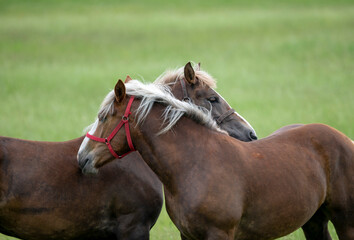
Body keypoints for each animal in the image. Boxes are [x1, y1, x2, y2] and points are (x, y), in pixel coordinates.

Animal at [78, 79, 354, 240]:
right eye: (212, 98)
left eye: (103, 117)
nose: (82, 158)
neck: (194, 164)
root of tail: (344, 139)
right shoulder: (188, 236)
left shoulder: (220, 234)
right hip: (314, 221)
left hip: (345, 222)